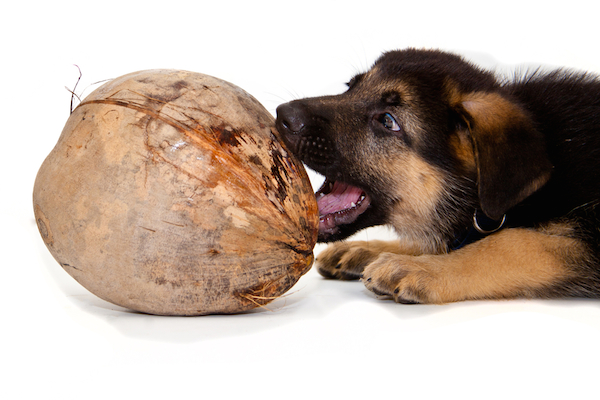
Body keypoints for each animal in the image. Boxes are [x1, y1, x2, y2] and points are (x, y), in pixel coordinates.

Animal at [278, 48, 600, 304]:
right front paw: (371, 249)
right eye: (350, 87)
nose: (283, 115)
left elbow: (514, 242)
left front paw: (420, 268)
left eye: (387, 121)